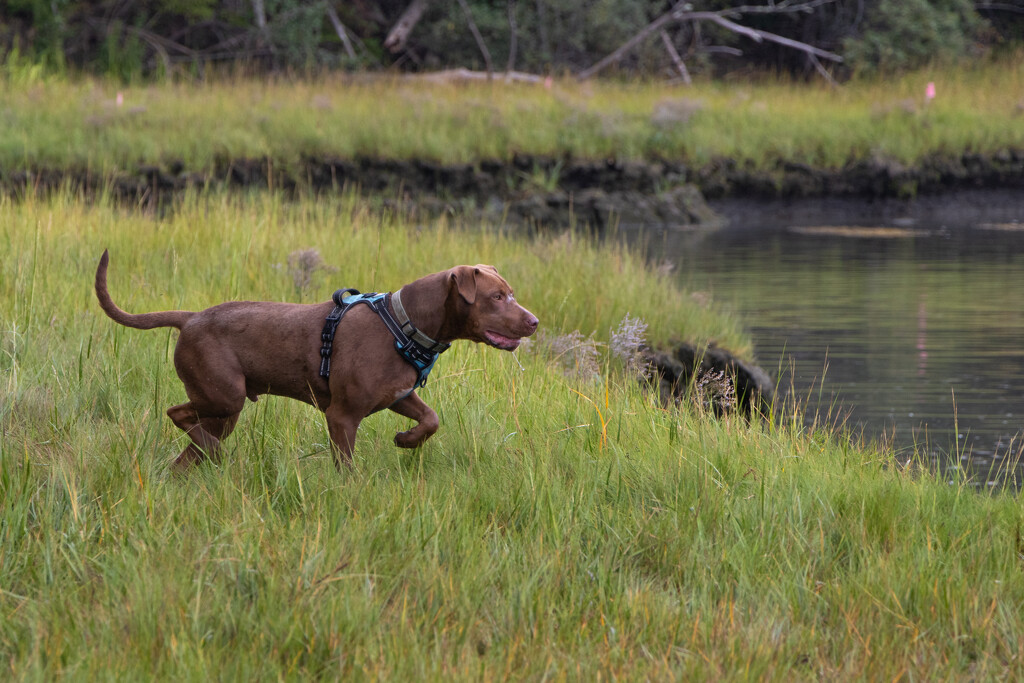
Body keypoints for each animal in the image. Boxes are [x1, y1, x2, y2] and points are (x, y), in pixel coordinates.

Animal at [95, 250, 540, 471]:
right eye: (496, 297)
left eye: (511, 293)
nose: (534, 322)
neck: (404, 323)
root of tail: (190, 318)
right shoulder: (342, 416)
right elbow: (347, 467)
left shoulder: (399, 395)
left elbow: (430, 419)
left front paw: (406, 440)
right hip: (225, 396)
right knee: (179, 415)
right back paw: (210, 449)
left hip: (223, 410)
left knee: (190, 447)